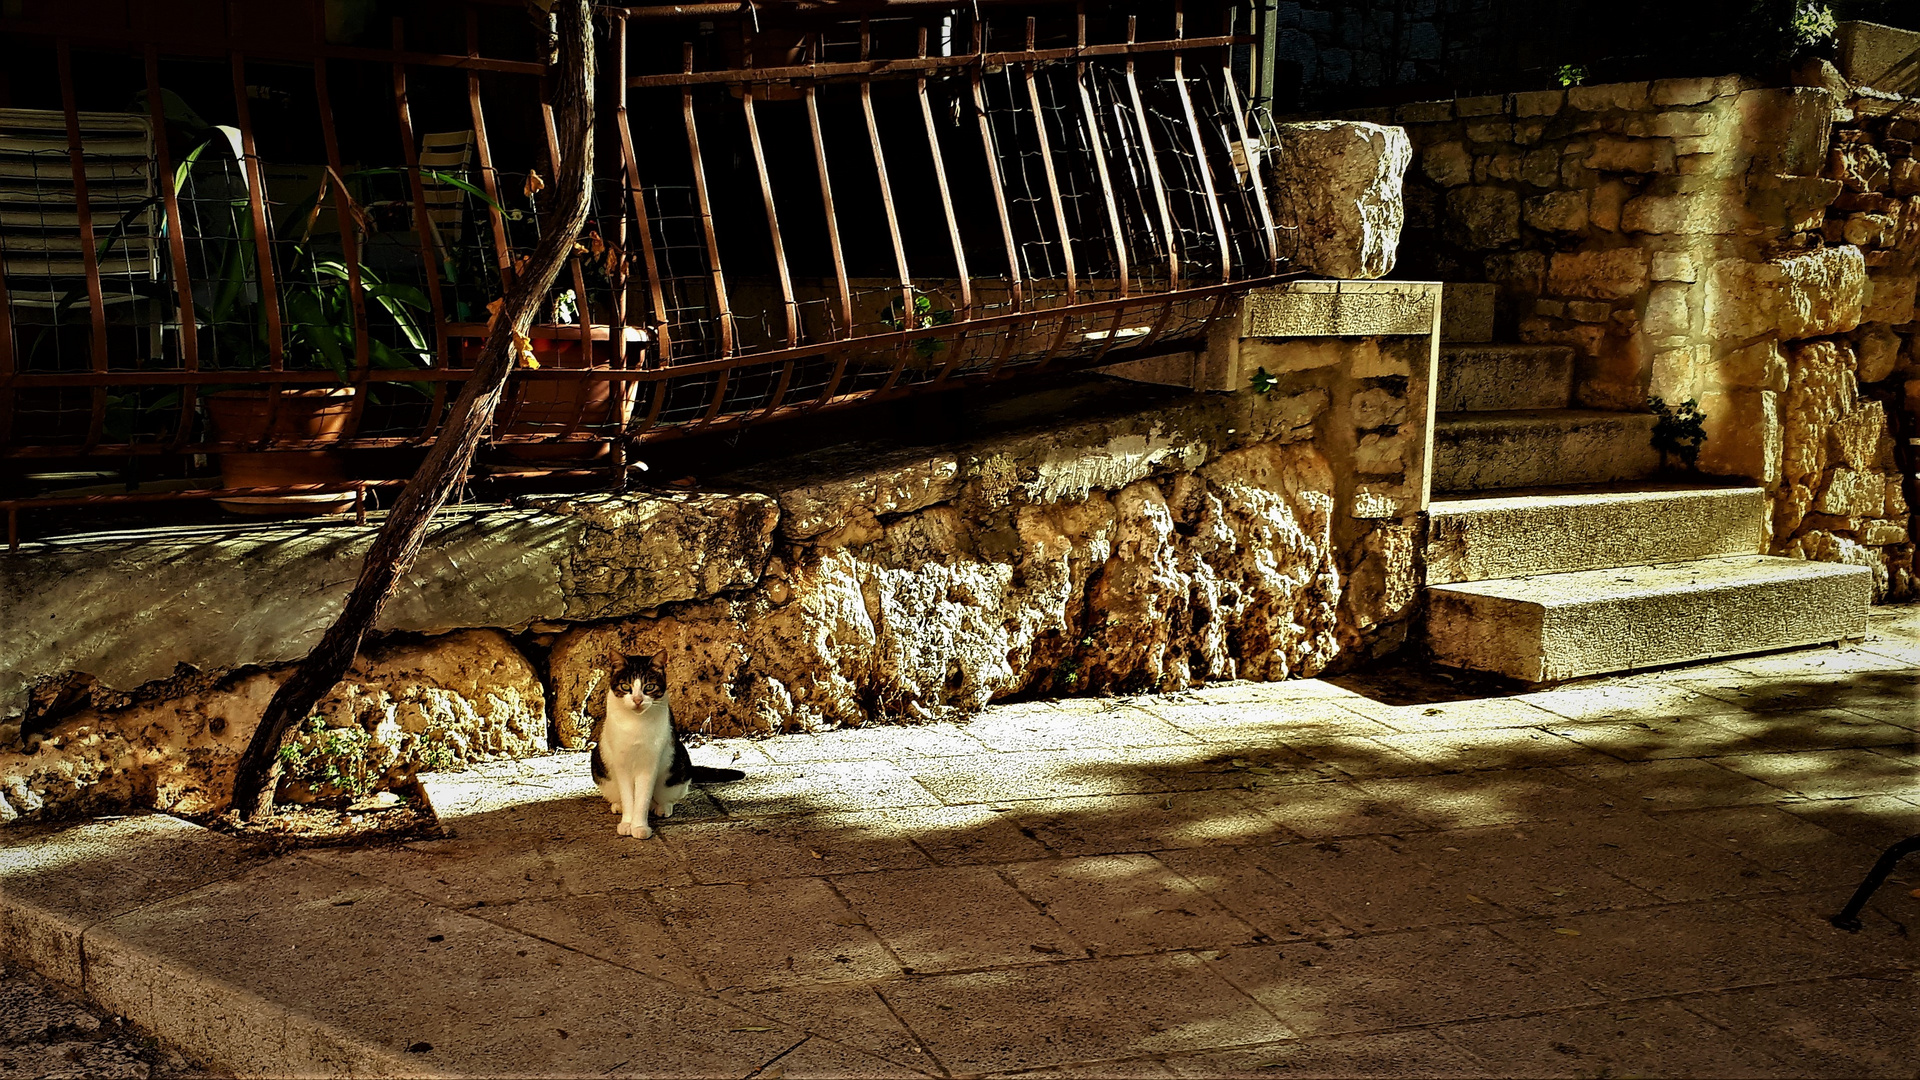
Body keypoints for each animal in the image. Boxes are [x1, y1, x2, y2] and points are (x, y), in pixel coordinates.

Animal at [583, 645, 741, 834]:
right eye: (626, 686)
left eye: (649, 687)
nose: (637, 699)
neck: (635, 723)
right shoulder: (621, 762)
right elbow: (629, 797)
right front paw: (627, 823)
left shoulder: (650, 761)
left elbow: (642, 798)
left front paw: (640, 827)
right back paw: (618, 805)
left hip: (678, 765)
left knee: (666, 796)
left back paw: (662, 807)